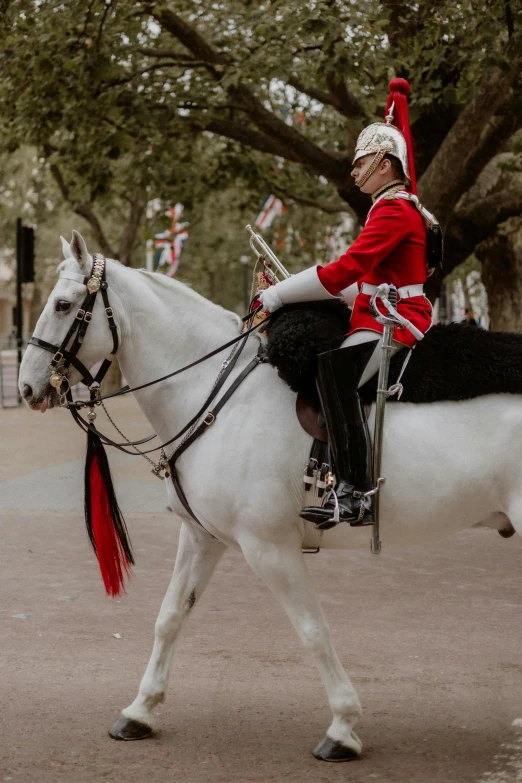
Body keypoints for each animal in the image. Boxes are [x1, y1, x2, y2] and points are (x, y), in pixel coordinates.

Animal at [19, 231, 516, 760]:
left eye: (63, 304)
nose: (25, 387)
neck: (216, 393)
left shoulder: (268, 548)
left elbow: (313, 629)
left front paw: (342, 726)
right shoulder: (201, 536)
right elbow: (170, 616)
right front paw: (139, 710)